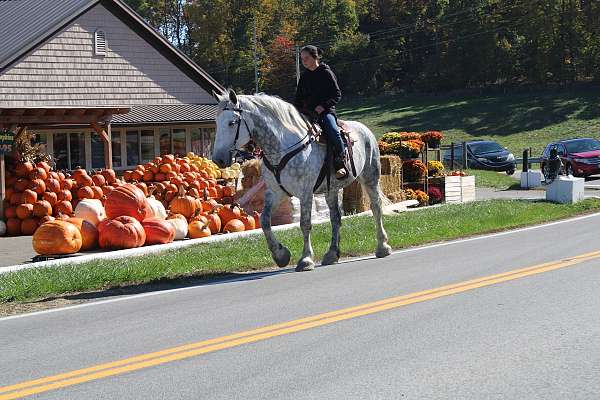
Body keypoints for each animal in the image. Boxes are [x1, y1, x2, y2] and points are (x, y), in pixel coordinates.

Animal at [212, 90, 394, 272]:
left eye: (232, 122)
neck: (282, 148)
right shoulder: (275, 192)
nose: (218, 159)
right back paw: (332, 254)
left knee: (376, 208)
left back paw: (382, 247)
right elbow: (264, 221)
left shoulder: (305, 193)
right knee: (335, 217)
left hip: (370, 177)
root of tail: (364, 129)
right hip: (332, 189)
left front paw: (306, 259)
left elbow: (305, 224)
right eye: (216, 122)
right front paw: (280, 255)